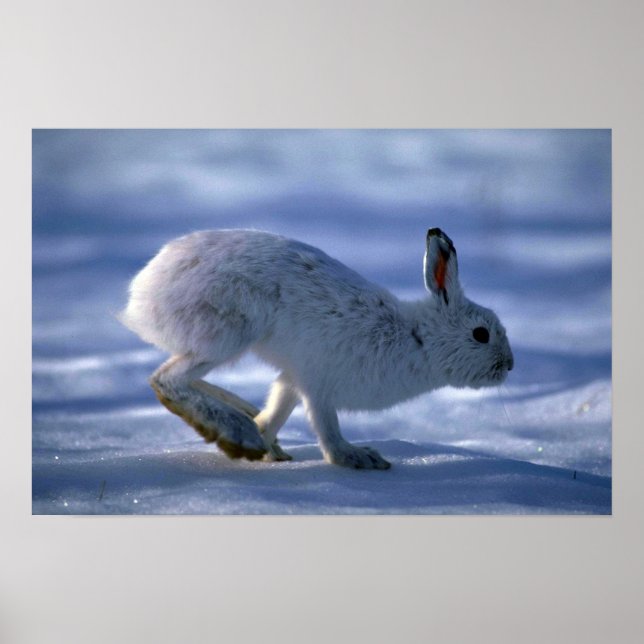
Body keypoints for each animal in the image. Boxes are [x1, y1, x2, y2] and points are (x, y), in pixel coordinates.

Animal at [120, 228, 513, 470]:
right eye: (481, 334)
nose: (509, 364)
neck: (416, 338)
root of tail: (143, 290)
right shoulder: (319, 384)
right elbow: (327, 429)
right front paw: (357, 458)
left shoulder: (294, 379)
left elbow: (277, 410)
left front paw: (268, 446)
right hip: (228, 333)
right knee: (166, 379)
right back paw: (235, 433)